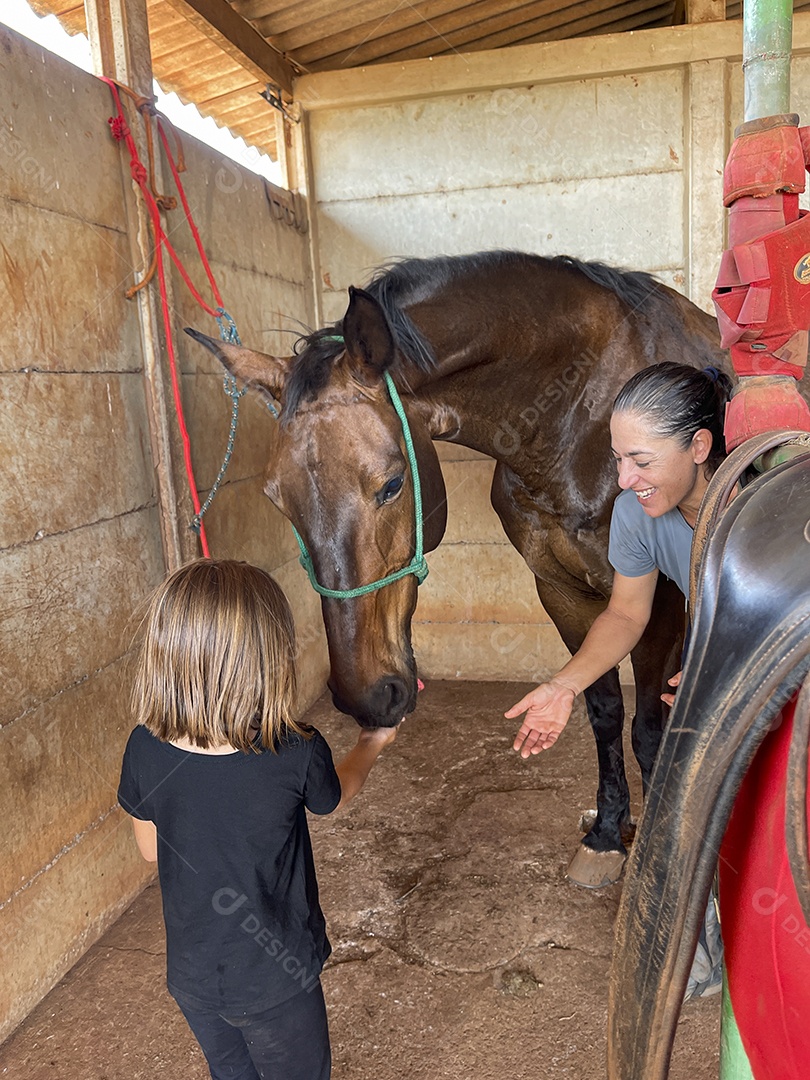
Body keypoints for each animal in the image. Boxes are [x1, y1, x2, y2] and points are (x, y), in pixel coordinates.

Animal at [187, 249, 733, 887]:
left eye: (392, 484)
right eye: (276, 499)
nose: (370, 697)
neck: (583, 418)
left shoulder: (661, 596)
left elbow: (648, 730)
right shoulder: (563, 592)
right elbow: (601, 710)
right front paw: (606, 833)